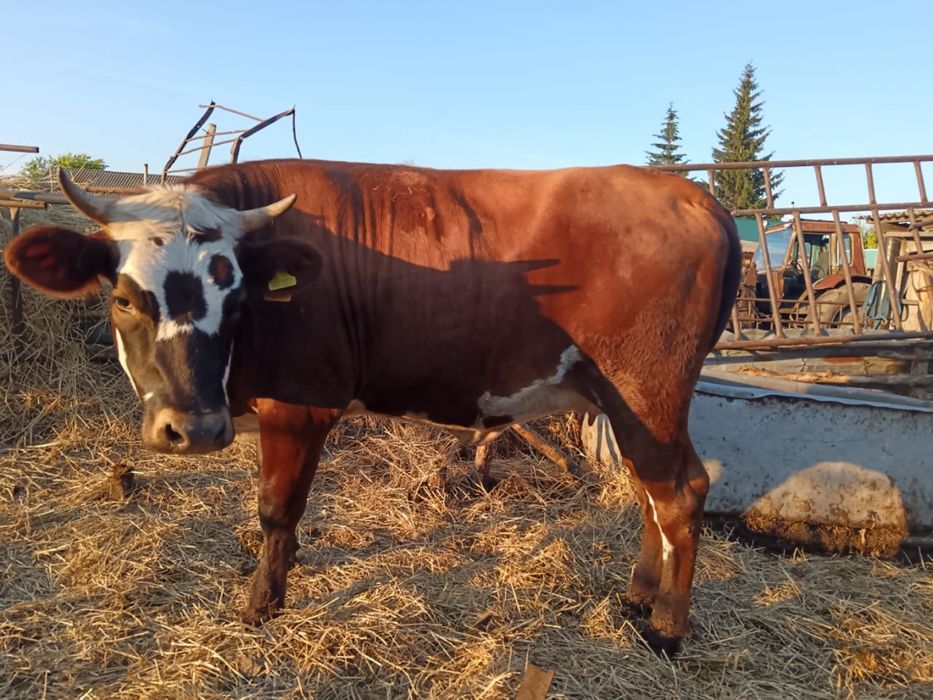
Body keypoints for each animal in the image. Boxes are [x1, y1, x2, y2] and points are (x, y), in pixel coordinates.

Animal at [4, 160, 741, 654]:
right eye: (124, 297)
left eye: (237, 299)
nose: (195, 429)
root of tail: (691, 193)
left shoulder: (299, 407)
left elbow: (276, 509)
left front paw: (262, 604)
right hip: (626, 403)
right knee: (652, 492)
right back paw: (638, 595)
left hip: (646, 392)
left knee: (680, 492)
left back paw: (667, 629)